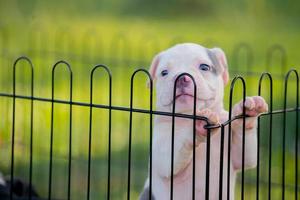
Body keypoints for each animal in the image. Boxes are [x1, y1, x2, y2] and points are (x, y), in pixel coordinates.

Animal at [139, 43, 268, 200]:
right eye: (164, 72)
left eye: (204, 67)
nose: (182, 78)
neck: (188, 116)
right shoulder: (162, 151)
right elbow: (170, 154)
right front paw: (197, 127)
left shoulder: (239, 156)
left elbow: (246, 156)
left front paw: (248, 111)